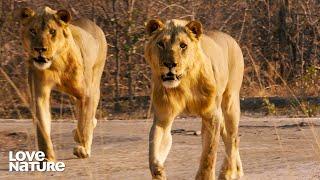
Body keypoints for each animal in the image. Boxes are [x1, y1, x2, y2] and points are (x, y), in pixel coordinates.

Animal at [18, 6, 107, 160]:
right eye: (33, 31)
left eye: (52, 31)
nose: (40, 49)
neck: (56, 64)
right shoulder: (39, 95)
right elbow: (43, 130)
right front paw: (47, 159)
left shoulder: (86, 94)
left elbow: (84, 124)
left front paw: (82, 149)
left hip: (95, 82)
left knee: (88, 116)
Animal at [145, 19, 245, 179]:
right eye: (161, 44)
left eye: (183, 45)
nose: (170, 64)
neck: (183, 83)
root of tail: (230, 38)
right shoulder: (163, 118)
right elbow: (153, 152)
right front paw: (159, 172)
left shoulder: (212, 115)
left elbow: (208, 156)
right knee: (227, 135)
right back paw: (237, 169)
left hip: (230, 102)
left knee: (233, 137)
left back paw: (228, 172)